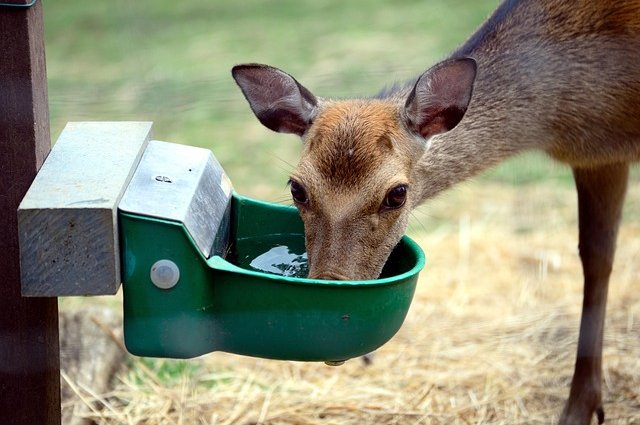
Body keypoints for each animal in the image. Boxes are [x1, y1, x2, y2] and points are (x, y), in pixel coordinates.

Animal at [231, 0, 640, 423]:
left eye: (397, 193)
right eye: (296, 188)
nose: (331, 289)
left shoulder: (605, 155)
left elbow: (598, 260)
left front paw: (579, 408)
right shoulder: (596, 157)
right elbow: (596, 256)